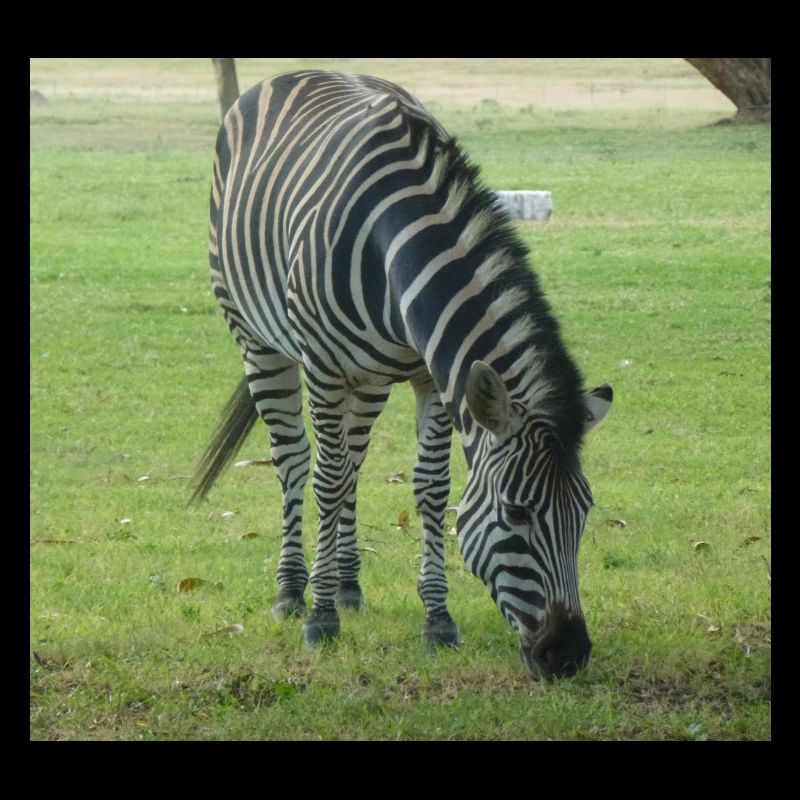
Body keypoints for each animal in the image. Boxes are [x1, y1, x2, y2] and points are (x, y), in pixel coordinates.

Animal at [192, 70, 613, 678]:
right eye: (516, 512)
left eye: (584, 512)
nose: (569, 655)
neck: (396, 243)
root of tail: (292, 74)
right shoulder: (322, 365)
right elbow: (325, 480)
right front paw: (320, 619)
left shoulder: (431, 376)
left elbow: (431, 489)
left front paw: (437, 619)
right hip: (258, 340)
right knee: (297, 461)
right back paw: (293, 591)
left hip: (367, 376)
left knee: (353, 463)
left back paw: (347, 586)